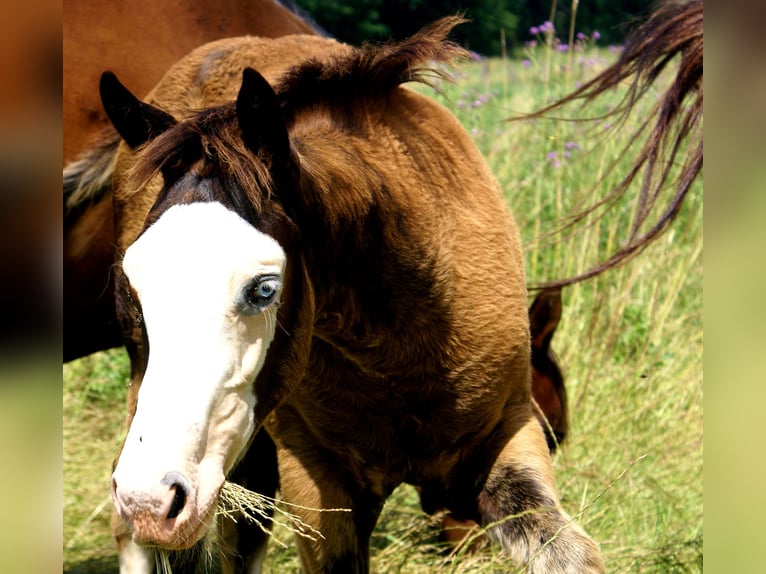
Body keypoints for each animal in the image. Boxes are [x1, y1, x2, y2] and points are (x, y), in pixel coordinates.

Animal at [98, 18, 604, 573]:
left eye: (264, 289)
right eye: (134, 287)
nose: (150, 500)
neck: (402, 353)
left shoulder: (508, 435)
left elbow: (573, 555)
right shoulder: (317, 482)